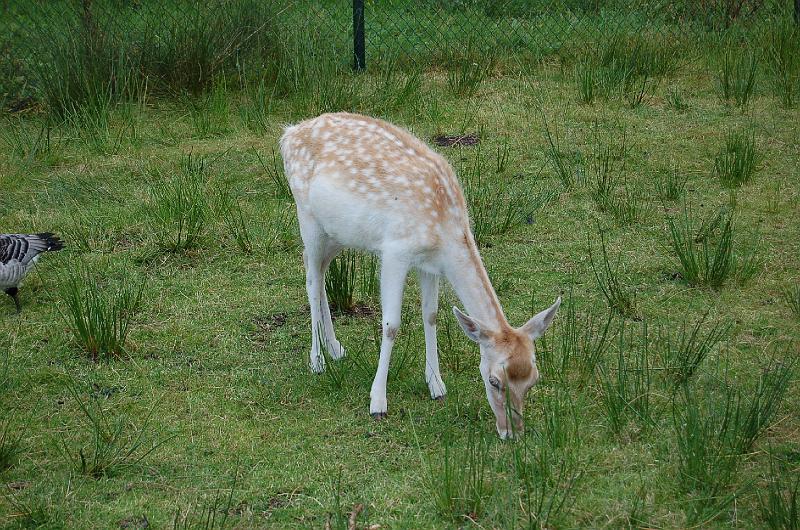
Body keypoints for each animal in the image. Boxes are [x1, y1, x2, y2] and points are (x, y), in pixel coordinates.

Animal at [282, 111, 564, 438]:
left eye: (533, 379)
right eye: (494, 380)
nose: (512, 433)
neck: (443, 230)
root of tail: (288, 134)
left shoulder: (429, 265)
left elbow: (431, 315)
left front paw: (436, 385)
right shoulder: (395, 250)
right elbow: (391, 324)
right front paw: (378, 402)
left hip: (337, 232)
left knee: (321, 272)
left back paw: (336, 348)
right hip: (307, 217)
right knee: (311, 279)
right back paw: (317, 361)